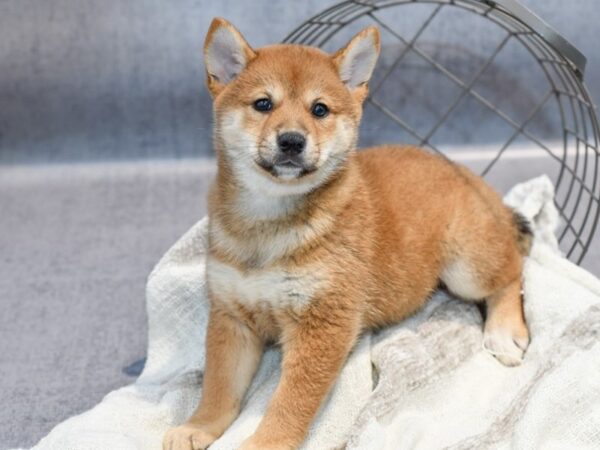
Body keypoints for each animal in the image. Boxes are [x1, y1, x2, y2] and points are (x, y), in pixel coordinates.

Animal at [163, 17, 528, 450]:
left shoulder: (323, 324)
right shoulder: (232, 317)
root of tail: (465, 173)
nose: (291, 140)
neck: (268, 225)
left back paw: (505, 332)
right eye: (263, 104)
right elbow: (219, 387)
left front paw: (265, 442)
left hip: (466, 267)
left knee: (513, 272)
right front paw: (198, 426)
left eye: (319, 109)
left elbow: (289, 402)